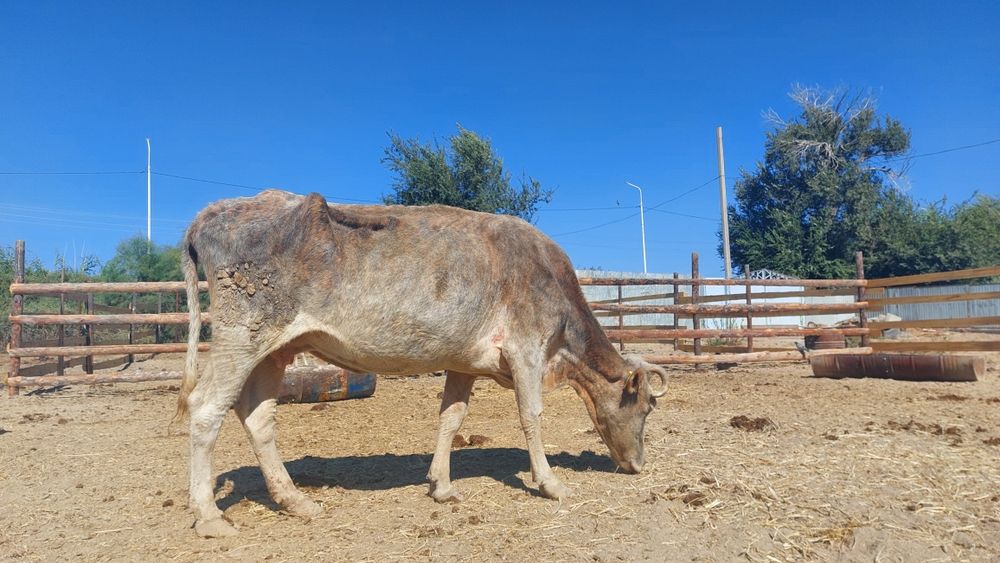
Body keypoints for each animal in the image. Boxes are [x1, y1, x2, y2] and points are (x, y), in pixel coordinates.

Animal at [176, 190, 668, 537]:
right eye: (645, 408)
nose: (638, 464)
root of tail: (213, 211)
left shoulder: (465, 361)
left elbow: (452, 417)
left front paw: (442, 487)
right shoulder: (526, 347)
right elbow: (531, 415)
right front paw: (551, 483)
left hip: (275, 347)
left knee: (257, 415)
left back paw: (296, 501)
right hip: (242, 333)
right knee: (206, 408)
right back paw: (209, 516)